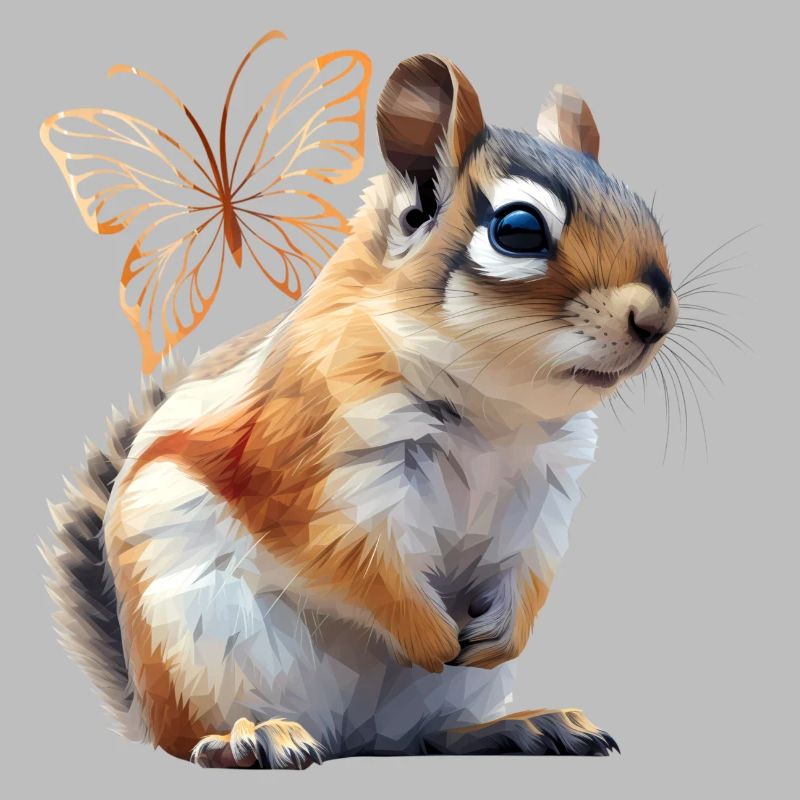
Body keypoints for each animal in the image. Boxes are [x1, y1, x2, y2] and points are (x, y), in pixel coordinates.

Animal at [44, 54, 678, 767]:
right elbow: (355, 560)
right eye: (518, 229)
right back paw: (250, 737)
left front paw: (505, 632)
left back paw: (523, 726)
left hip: (445, 698)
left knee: (430, 737)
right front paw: (429, 634)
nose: (655, 318)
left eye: (643, 209)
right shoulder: (316, 458)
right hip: (204, 647)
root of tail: (352, 738)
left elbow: (531, 566)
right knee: (197, 739)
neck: (497, 411)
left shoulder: (545, 488)